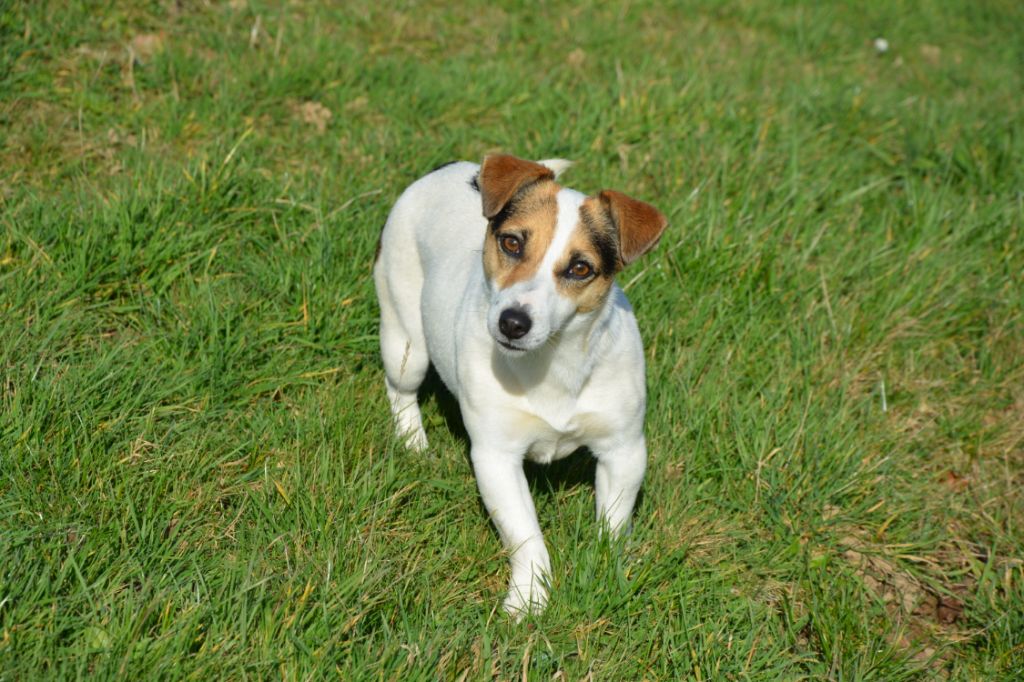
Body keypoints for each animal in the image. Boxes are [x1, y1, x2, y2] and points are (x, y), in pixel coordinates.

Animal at [372, 155, 667, 614]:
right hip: (405, 338)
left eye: (580, 268)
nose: (513, 322)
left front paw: (608, 571)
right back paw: (412, 442)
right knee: (401, 388)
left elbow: (614, 524)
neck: (552, 361)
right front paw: (529, 599)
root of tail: (453, 166)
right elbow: (526, 536)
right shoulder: (496, 457)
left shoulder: (624, 450)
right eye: (511, 243)